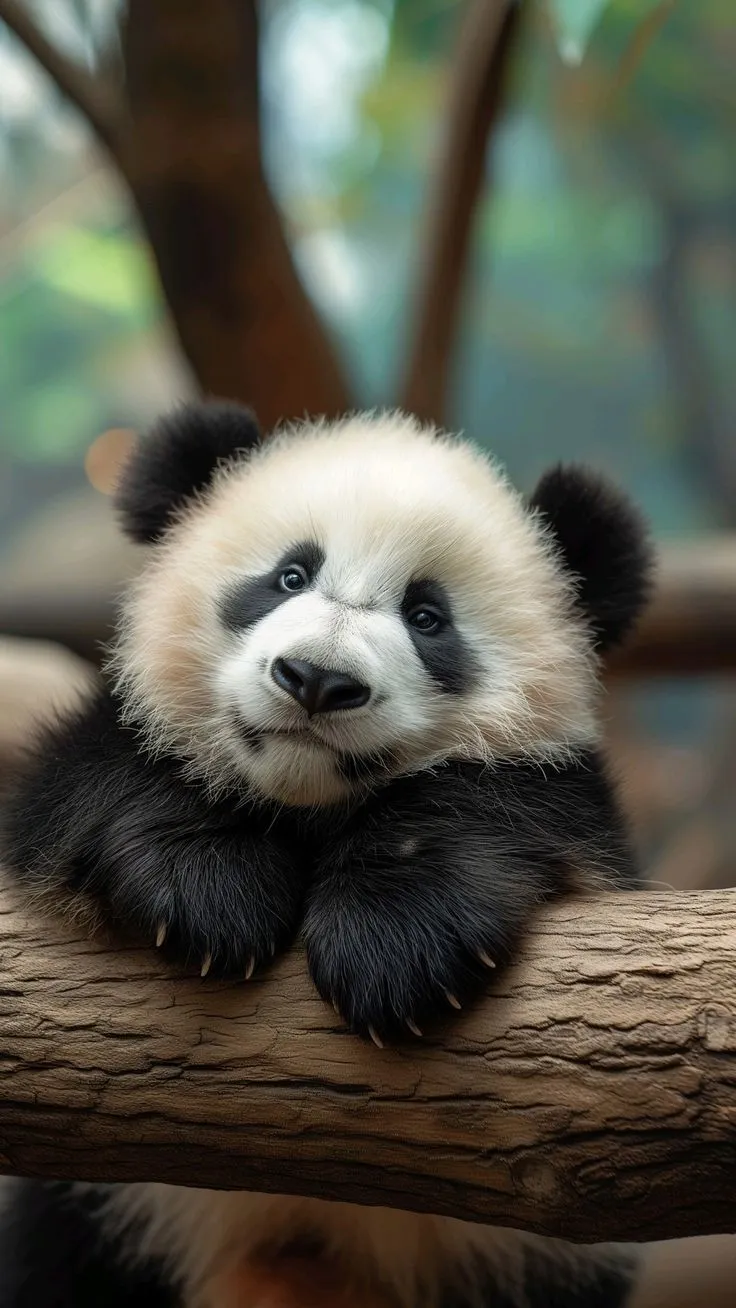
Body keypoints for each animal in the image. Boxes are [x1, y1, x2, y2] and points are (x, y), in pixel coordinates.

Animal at [0, 402, 654, 1308]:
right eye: (289, 576)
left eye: (427, 616)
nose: (316, 679)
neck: (307, 801)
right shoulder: (84, 758)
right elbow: (103, 773)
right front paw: (212, 898)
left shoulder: (582, 817)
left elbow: (501, 801)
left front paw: (394, 948)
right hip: (103, 1216)